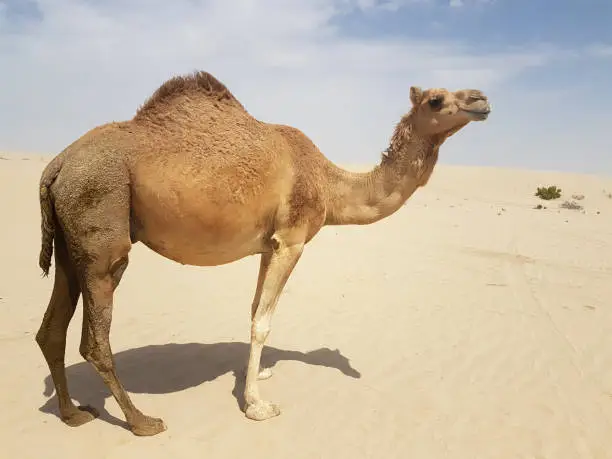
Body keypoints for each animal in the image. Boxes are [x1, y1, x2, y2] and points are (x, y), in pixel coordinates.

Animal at [35, 70, 490, 436]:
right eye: (436, 99)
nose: (481, 99)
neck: (328, 183)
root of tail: (57, 164)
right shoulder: (292, 239)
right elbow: (263, 322)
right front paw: (257, 405)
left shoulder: (269, 245)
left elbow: (254, 309)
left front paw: (259, 375)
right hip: (102, 225)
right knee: (95, 337)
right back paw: (142, 422)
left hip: (70, 242)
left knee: (52, 328)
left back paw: (74, 414)